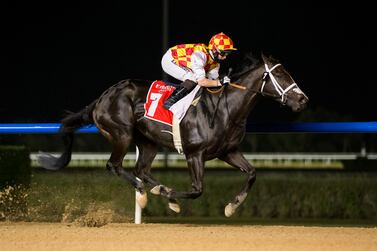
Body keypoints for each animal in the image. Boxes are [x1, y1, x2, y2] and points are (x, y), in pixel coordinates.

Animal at [39, 52, 308, 216]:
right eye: (281, 75)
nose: (303, 100)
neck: (226, 108)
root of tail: (101, 98)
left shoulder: (228, 151)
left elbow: (252, 173)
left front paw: (231, 207)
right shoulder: (194, 154)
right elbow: (197, 189)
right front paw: (168, 196)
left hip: (148, 143)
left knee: (141, 169)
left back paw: (160, 193)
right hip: (122, 134)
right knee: (115, 166)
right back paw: (146, 194)